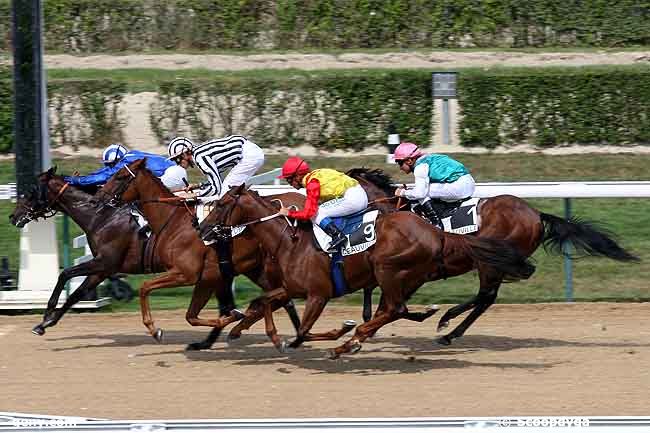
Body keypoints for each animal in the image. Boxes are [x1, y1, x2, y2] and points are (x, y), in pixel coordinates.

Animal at [9, 165, 298, 348]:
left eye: (31, 191)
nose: (13, 216)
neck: (101, 216)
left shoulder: (106, 261)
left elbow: (65, 274)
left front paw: (46, 314)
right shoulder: (103, 268)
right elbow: (76, 294)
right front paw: (46, 323)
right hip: (248, 269)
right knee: (275, 299)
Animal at [199, 186, 536, 358]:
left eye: (222, 204)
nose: (202, 228)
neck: (290, 241)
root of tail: (436, 232)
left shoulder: (318, 295)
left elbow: (303, 330)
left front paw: (341, 332)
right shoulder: (291, 288)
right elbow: (264, 302)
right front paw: (244, 330)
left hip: (389, 267)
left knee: (399, 307)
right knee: (396, 308)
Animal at [346, 166, 636, 344]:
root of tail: (536, 214)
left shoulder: (415, 272)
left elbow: (391, 303)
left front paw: (372, 327)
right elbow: (373, 291)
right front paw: (368, 322)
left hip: (489, 262)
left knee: (486, 296)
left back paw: (447, 324)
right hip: (495, 263)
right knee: (488, 297)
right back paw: (450, 330)